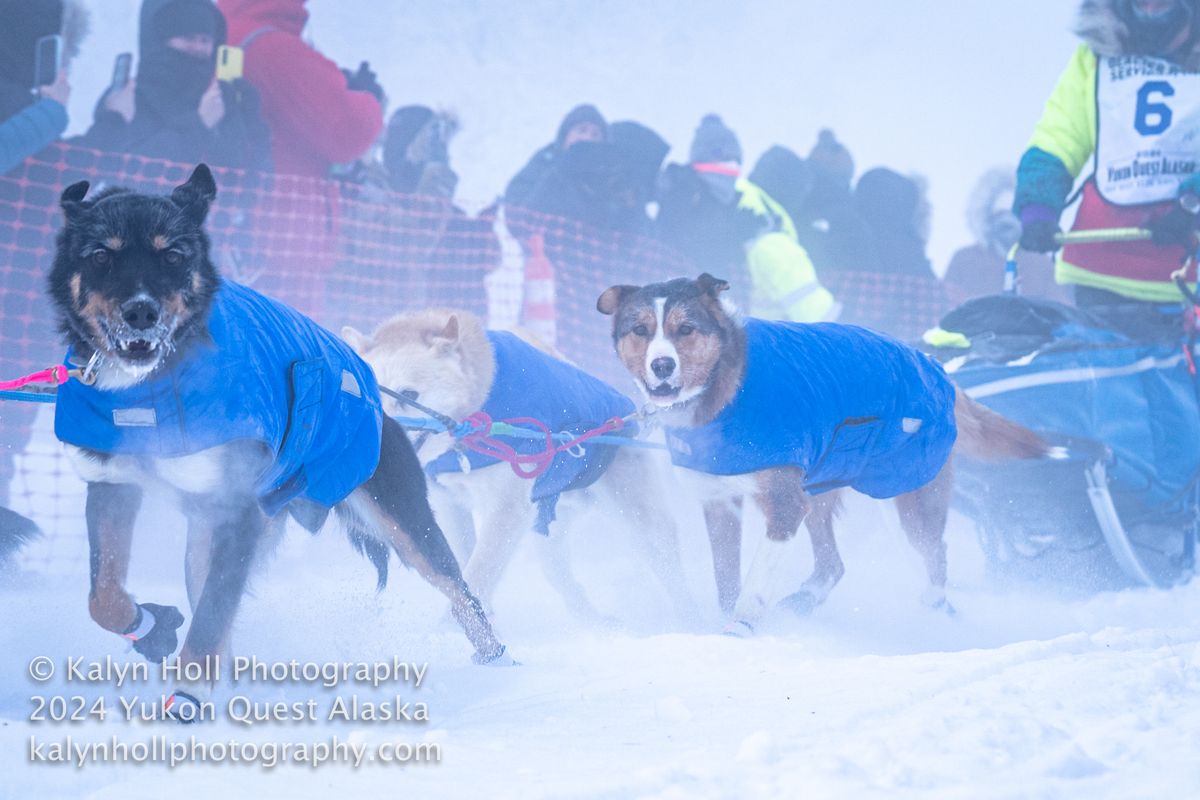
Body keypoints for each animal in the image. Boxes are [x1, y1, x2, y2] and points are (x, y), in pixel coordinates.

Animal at [48, 165, 511, 714]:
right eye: (101, 254)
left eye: (173, 254)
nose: (141, 312)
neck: (153, 386)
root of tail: (379, 395)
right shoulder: (111, 484)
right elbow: (104, 596)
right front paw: (153, 627)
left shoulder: (238, 509)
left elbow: (209, 619)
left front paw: (185, 699)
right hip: (209, 535)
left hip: (402, 519)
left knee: (460, 591)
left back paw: (497, 659)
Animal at [343, 309, 700, 623]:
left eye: (409, 394)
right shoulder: (451, 504)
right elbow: (464, 566)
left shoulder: (506, 510)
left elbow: (479, 570)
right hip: (544, 534)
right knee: (562, 578)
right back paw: (595, 621)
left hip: (643, 523)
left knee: (672, 572)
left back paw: (693, 621)